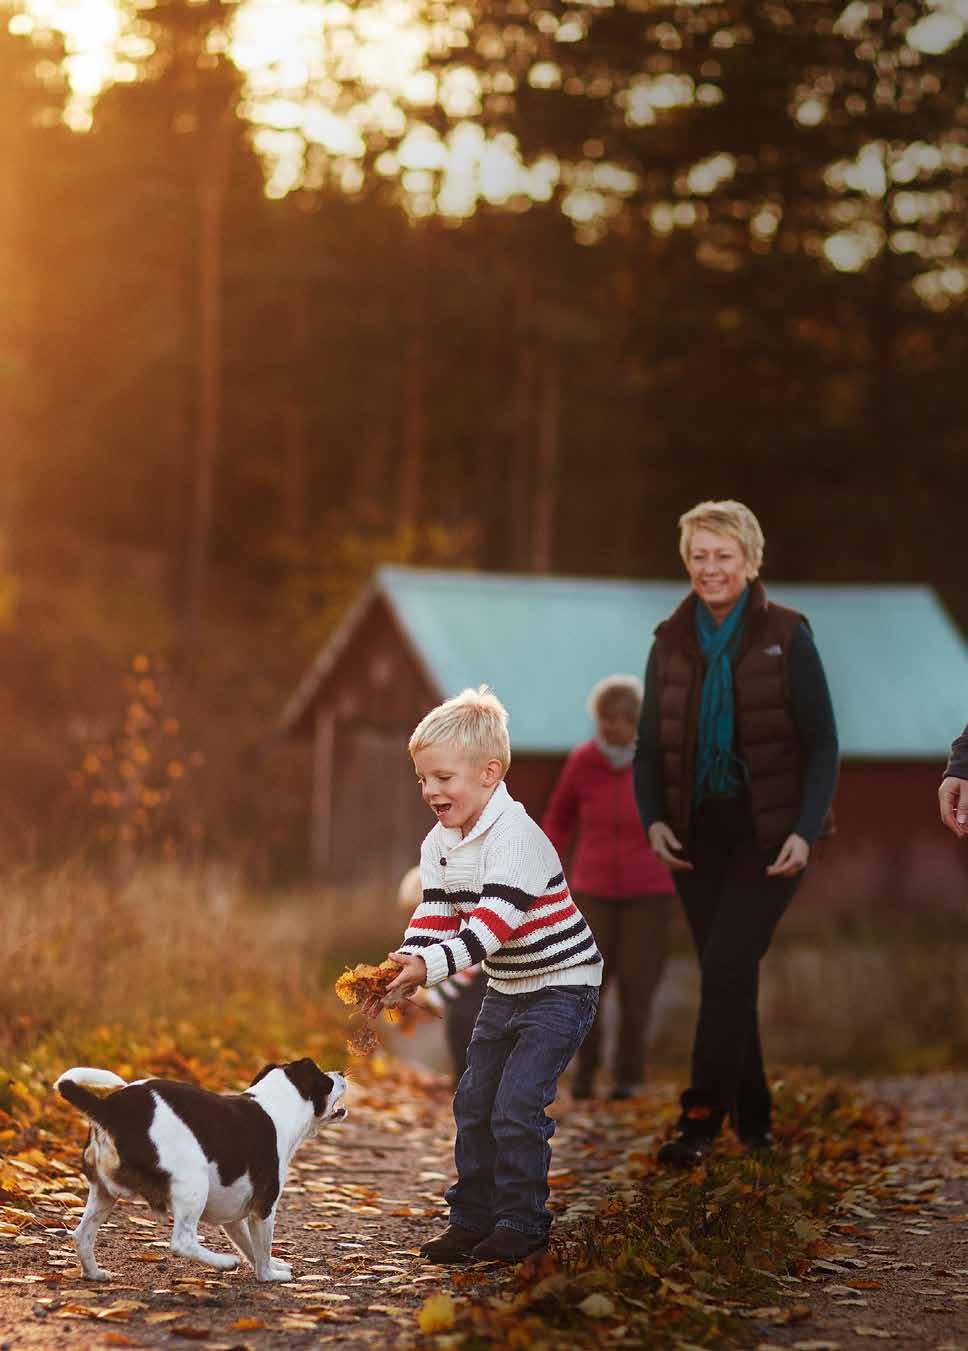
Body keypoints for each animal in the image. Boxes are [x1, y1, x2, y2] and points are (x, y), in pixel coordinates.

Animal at [54, 1059, 345, 1280]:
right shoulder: (263, 1208)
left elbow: (250, 1247)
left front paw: (275, 1265)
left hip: (103, 1194)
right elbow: (261, 1251)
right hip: (194, 1184)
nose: (341, 1073)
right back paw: (224, 1262)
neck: (275, 1104)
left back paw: (94, 1274)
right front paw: (271, 1276)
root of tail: (108, 1109)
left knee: (81, 1235)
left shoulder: (234, 1216)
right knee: (182, 1241)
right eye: (326, 1078)